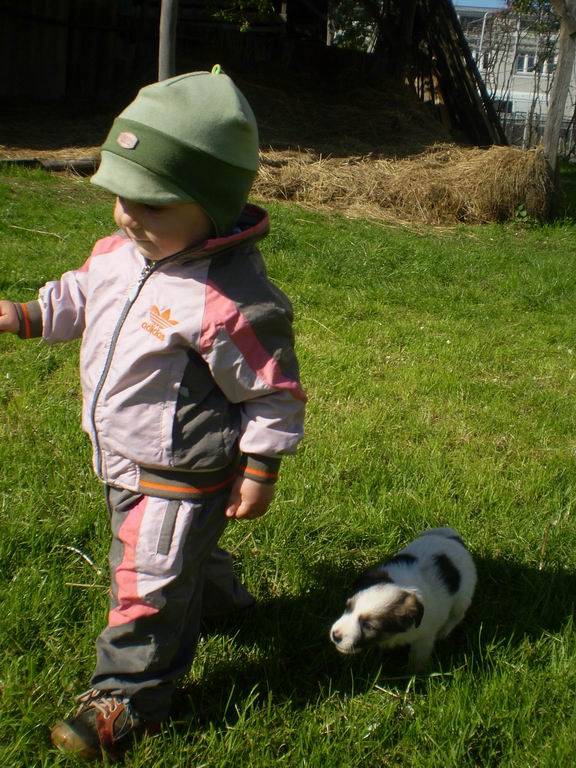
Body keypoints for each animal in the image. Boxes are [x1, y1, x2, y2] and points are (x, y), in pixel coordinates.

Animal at [329, 527, 477, 671]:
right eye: (348, 607)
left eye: (369, 626)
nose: (335, 636)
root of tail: (453, 539)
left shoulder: (425, 638)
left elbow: (418, 658)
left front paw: (414, 674)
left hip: (462, 597)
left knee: (457, 615)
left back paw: (444, 631)